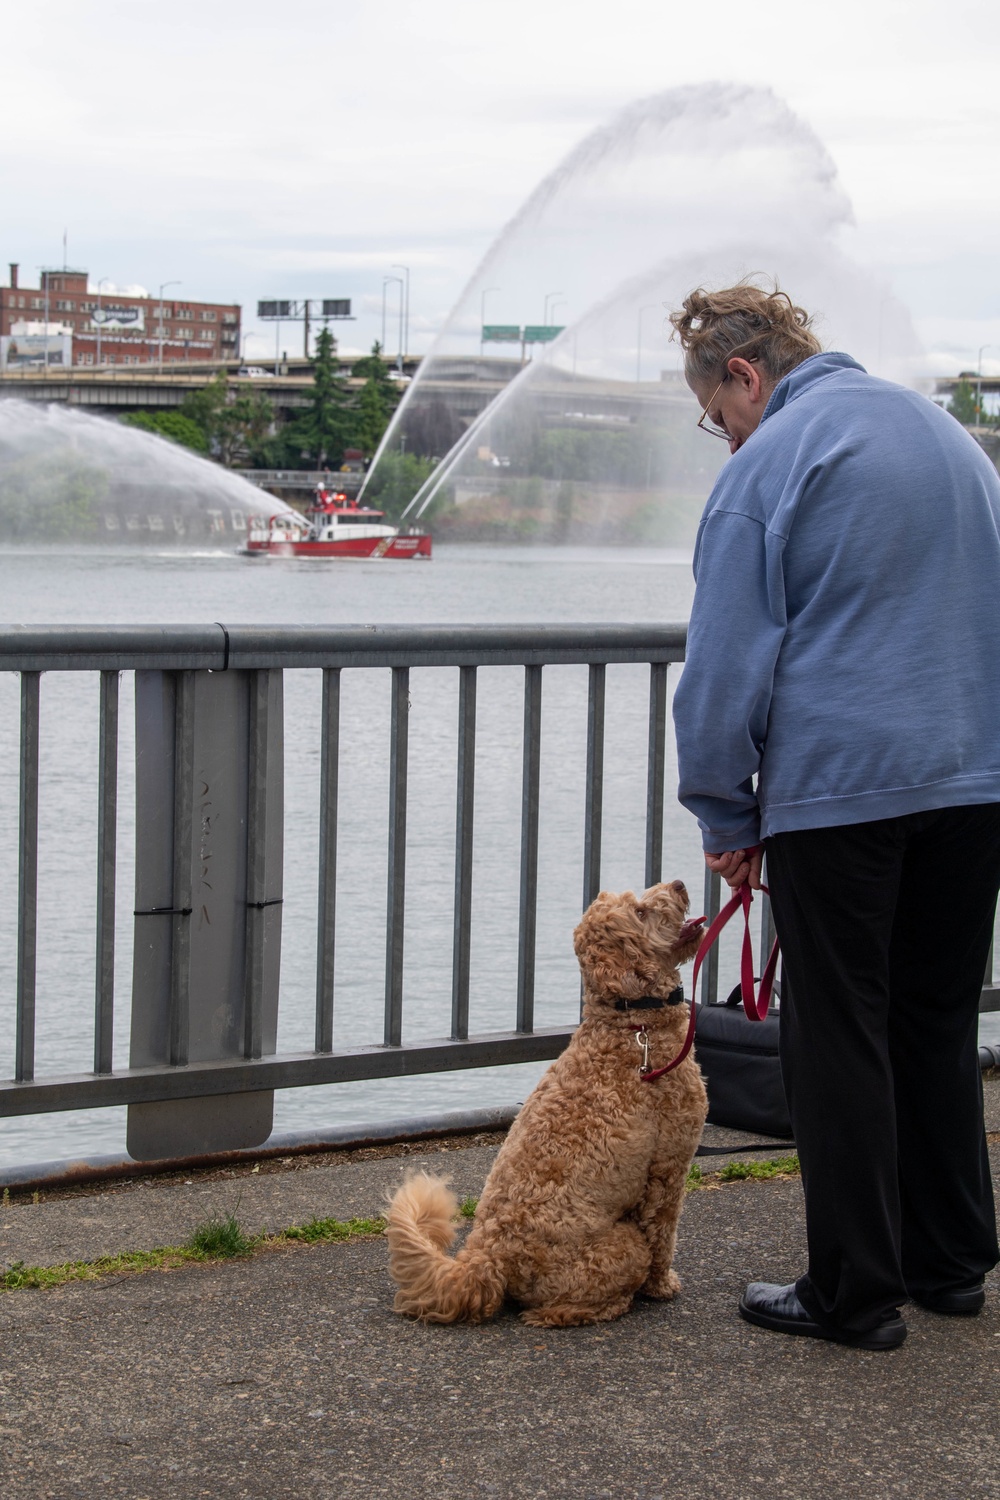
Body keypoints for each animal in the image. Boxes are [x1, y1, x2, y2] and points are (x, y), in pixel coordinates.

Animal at [383, 876, 704, 1326]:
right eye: (640, 912)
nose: (679, 883)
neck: (633, 1026)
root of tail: (485, 1260)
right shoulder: (668, 1166)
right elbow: (663, 1234)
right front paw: (662, 1286)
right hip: (621, 1246)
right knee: (559, 1307)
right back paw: (602, 1306)